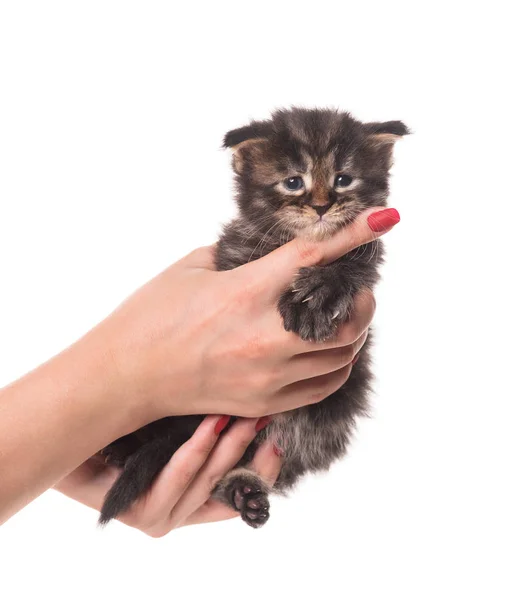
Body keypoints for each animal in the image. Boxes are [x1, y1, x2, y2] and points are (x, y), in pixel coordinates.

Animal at [99, 106, 408, 524]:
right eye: (293, 182)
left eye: (344, 179)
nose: (321, 206)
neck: (292, 240)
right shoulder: (236, 255)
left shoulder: (366, 257)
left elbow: (348, 268)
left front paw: (317, 295)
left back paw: (242, 489)